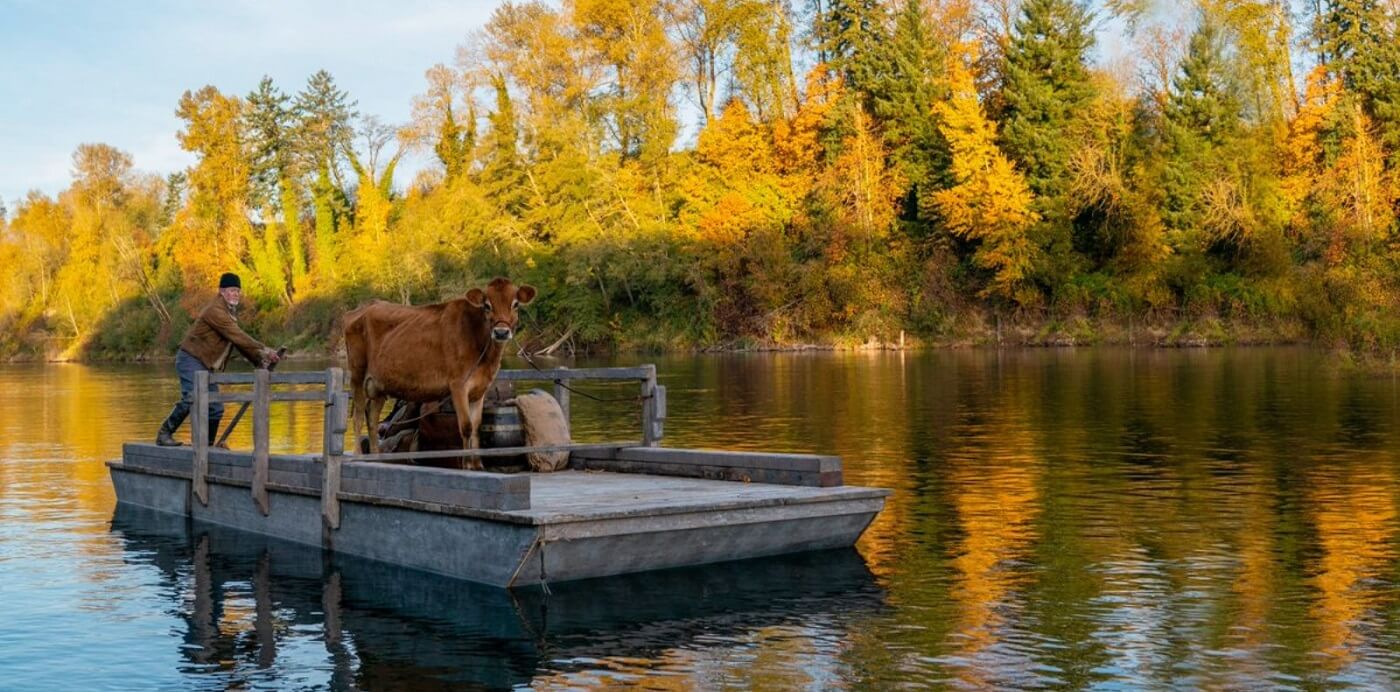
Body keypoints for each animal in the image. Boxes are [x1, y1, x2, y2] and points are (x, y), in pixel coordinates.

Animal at [343, 277, 537, 468]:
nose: (501, 332)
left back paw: (376, 457)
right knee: (358, 415)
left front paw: (477, 465)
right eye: (487, 305)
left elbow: (476, 427)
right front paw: (467, 464)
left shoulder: (480, 389)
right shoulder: (458, 385)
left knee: (372, 416)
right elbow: (466, 427)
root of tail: (365, 307)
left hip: (380, 384)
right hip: (357, 374)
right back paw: (358, 456)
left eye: (516, 304)